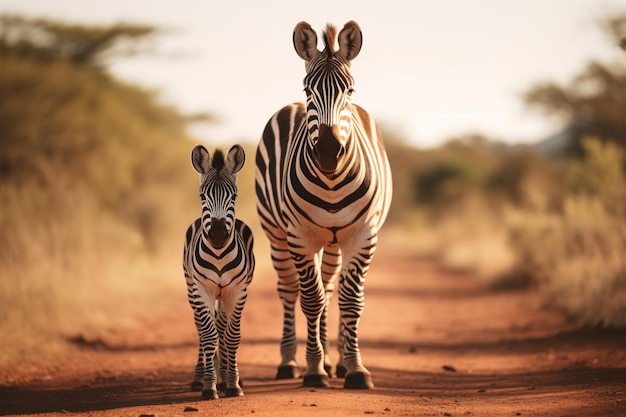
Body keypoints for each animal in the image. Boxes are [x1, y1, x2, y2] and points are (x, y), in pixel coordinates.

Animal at [183, 144, 254, 400]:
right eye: (202, 196)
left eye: (234, 197)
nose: (217, 235)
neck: (219, 254)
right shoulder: (202, 289)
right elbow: (208, 336)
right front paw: (209, 385)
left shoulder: (238, 290)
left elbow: (231, 336)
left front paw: (232, 384)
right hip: (192, 290)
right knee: (202, 329)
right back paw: (200, 377)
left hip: (224, 295)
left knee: (222, 328)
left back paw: (225, 376)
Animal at [254, 20, 390, 390]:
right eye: (308, 89)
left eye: (351, 91)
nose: (329, 153)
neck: (331, 183)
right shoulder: (300, 237)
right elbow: (310, 300)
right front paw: (314, 369)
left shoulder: (363, 235)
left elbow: (350, 300)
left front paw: (355, 368)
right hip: (278, 235)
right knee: (290, 290)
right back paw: (290, 362)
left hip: (333, 241)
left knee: (330, 288)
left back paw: (336, 362)